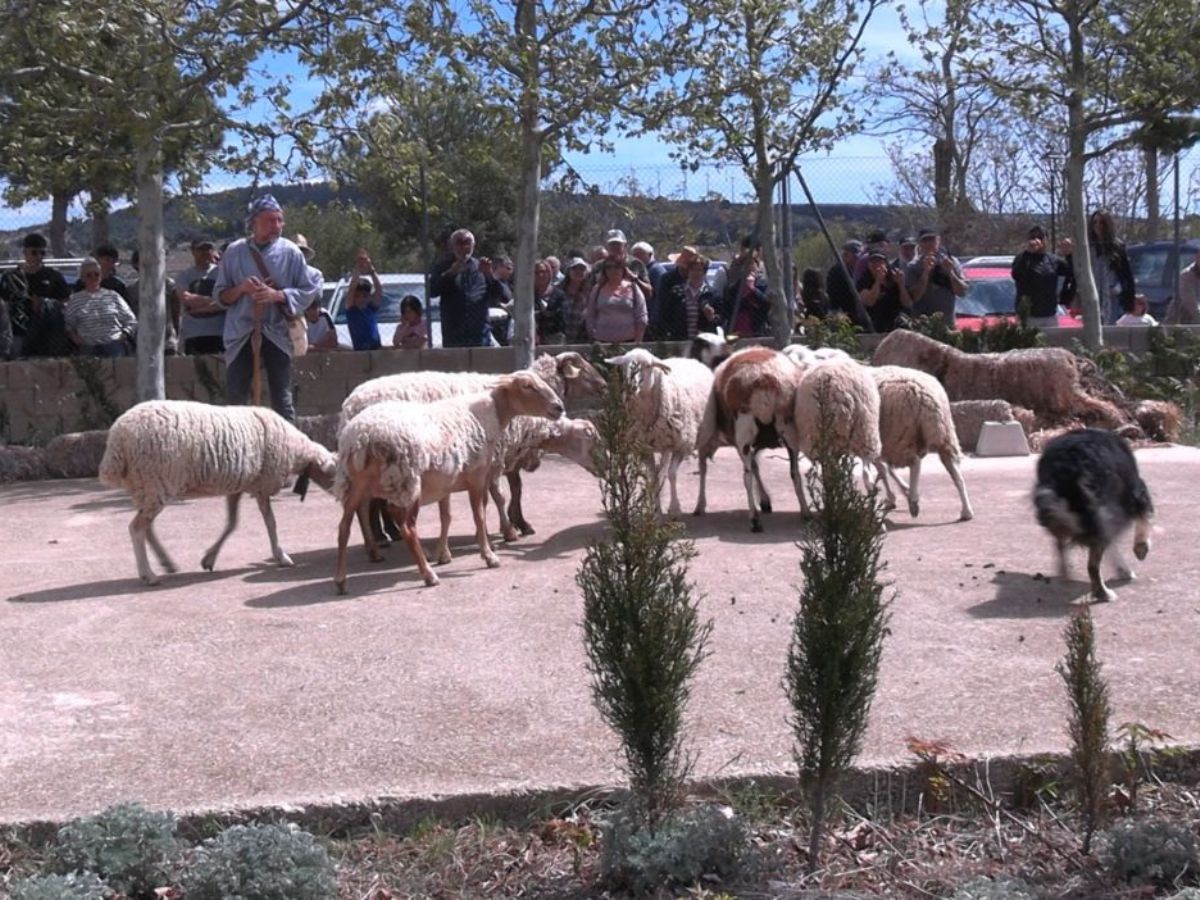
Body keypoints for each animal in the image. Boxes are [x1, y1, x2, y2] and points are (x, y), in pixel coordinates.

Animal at [98, 400, 338, 585]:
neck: (297, 449)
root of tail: (117, 442)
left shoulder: (238, 485)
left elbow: (232, 522)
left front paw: (209, 558)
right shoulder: (261, 485)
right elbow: (271, 523)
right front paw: (281, 556)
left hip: (147, 486)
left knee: (147, 528)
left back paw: (166, 563)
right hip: (155, 480)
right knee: (137, 528)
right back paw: (148, 575)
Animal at [333, 369, 566, 595]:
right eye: (527, 386)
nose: (559, 407)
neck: (490, 413)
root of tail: (361, 437)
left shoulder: (446, 481)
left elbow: (446, 516)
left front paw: (444, 554)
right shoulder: (477, 475)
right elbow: (480, 514)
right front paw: (489, 554)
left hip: (358, 483)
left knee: (345, 525)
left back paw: (342, 580)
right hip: (408, 482)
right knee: (407, 527)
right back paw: (428, 574)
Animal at [609, 348, 710, 518]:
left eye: (648, 366)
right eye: (624, 366)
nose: (631, 386)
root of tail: (691, 359)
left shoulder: (682, 445)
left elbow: (672, 474)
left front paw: (675, 509)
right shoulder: (644, 449)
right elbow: (653, 478)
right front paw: (656, 511)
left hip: (701, 437)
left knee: (702, 469)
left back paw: (700, 505)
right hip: (664, 444)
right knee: (661, 470)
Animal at [873, 364, 974, 520]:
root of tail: (925, 395)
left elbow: (882, 468)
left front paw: (893, 495)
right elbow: (884, 468)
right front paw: (895, 494)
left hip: (897, 435)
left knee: (914, 462)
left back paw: (913, 500)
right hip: (945, 435)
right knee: (956, 474)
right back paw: (966, 511)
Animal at [1032, 427, 1152, 602]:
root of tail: (1065, 468)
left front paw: (1123, 569)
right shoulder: (1136, 493)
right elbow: (1146, 518)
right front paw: (1140, 549)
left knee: (1060, 546)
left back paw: (1066, 573)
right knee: (1092, 566)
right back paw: (1104, 594)